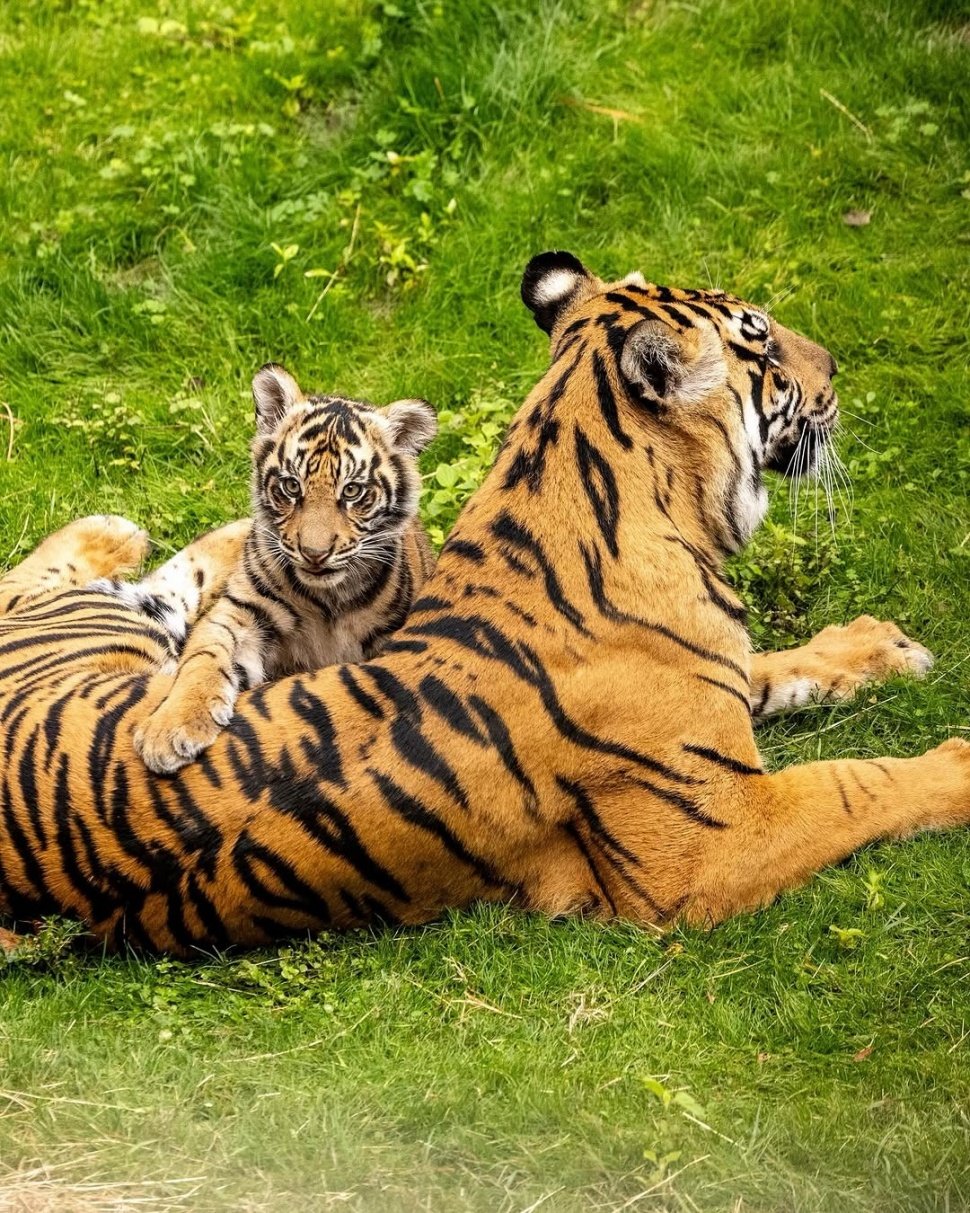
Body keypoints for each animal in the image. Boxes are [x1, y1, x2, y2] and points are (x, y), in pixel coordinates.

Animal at [1, 253, 970, 955]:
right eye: (760, 341)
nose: (837, 365)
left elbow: (774, 670)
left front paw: (878, 647)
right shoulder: (703, 844)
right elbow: (855, 784)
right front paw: (954, 763)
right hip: (113, 631)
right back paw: (125, 534)